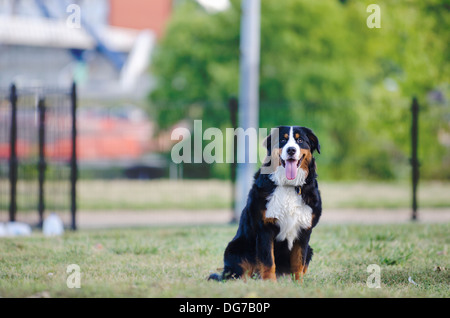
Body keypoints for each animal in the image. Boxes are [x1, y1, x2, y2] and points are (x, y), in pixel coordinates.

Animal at [209, 125, 322, 282]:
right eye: (282, 140)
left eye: (300, 140)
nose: (291, 150)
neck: (288, 186)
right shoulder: (265, 228)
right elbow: (268, 260)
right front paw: (269, 282)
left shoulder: (304, 230)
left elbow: (299, 261)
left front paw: (298, 283)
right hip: (235, 248)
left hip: (310, 249)